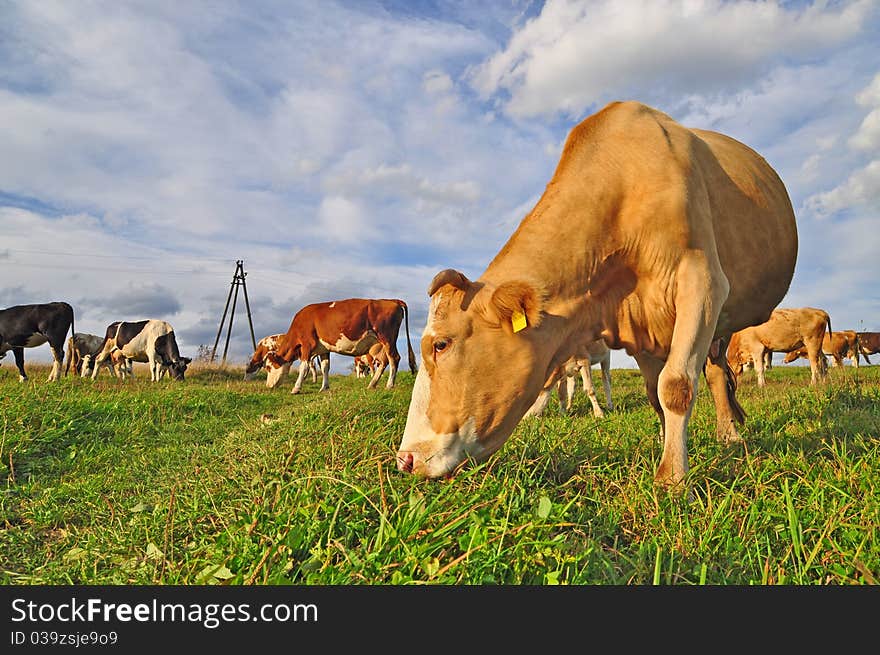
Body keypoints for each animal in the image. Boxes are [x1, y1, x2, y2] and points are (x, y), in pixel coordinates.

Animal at [266, 298, 418, 394]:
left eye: (268, 367)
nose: (268, 386)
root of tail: (391, 300)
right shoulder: (324, 349)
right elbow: (325, 368)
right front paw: (324, 388)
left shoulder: (307, 345)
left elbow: (303, 367)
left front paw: (296, 388)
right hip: (380, 344)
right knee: (384, 362)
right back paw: (372, 384)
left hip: (387, 338)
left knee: (394, 359)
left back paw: (389, 385)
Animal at [396, 100, 800, 492]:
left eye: (441, 345)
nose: (406, 459)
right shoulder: (638, 321)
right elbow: (654, 393)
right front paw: (663, 444)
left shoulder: (702, 283)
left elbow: (675, 385)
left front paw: (672, 477)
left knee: (715, 374)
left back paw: (729, 434)